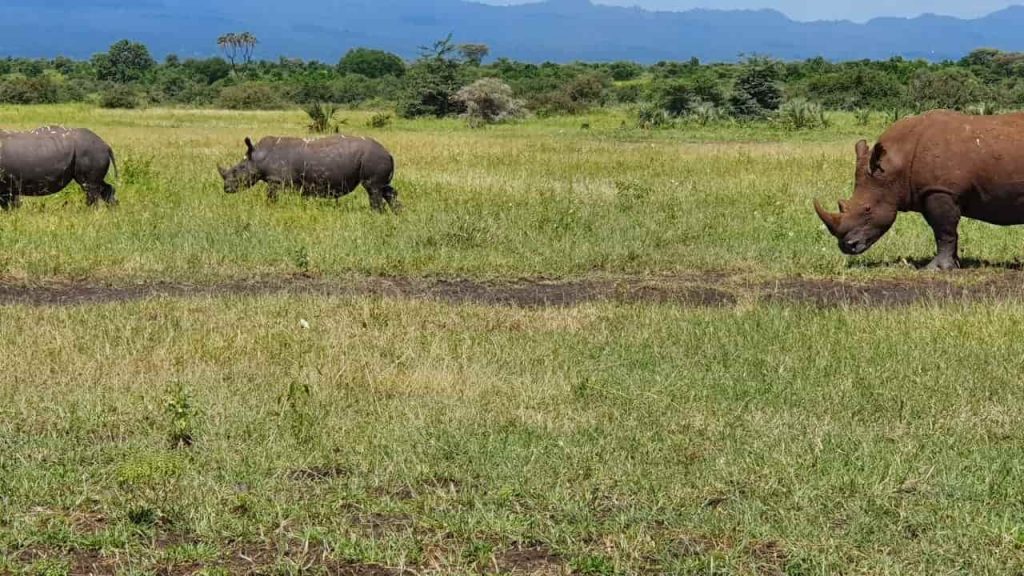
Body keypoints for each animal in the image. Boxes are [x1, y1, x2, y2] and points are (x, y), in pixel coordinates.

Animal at [219, 133, 399, 212]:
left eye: (237, 170)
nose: (226, 189)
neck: (258, 157)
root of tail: (389, 153)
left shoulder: (276, 180)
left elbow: (271, 197)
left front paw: (271, 209)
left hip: (373, 158)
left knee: (373, 189)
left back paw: (375, 214)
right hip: (376, 158)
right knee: (385, 189)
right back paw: (397, 214)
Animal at [811, 109, 1024, 270]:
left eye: (867, 209)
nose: (847, 247)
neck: (895, 164)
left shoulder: (939, 190)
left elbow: (944, 230)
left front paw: (936, 269)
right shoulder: (928, 191)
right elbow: (945, 231)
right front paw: (954, 265)